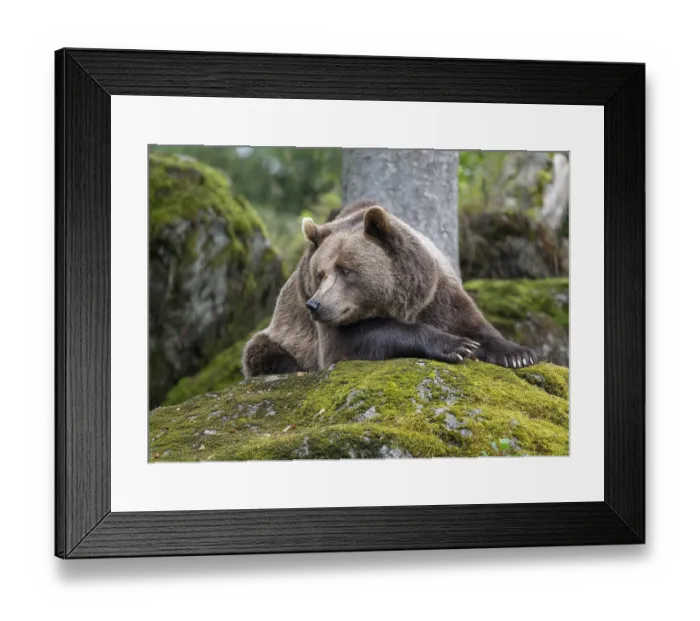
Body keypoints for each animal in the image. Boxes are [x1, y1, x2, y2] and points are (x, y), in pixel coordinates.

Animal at [242, 200, 538, 377]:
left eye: (345, 270)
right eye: (320, 273)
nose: (315, 305)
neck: (397, 302)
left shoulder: (436, 292)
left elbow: (472, 323)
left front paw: (518, 354)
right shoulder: (330, 331)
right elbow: (362, 338)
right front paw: (455, 345)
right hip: (283, 335)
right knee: (261, 351)